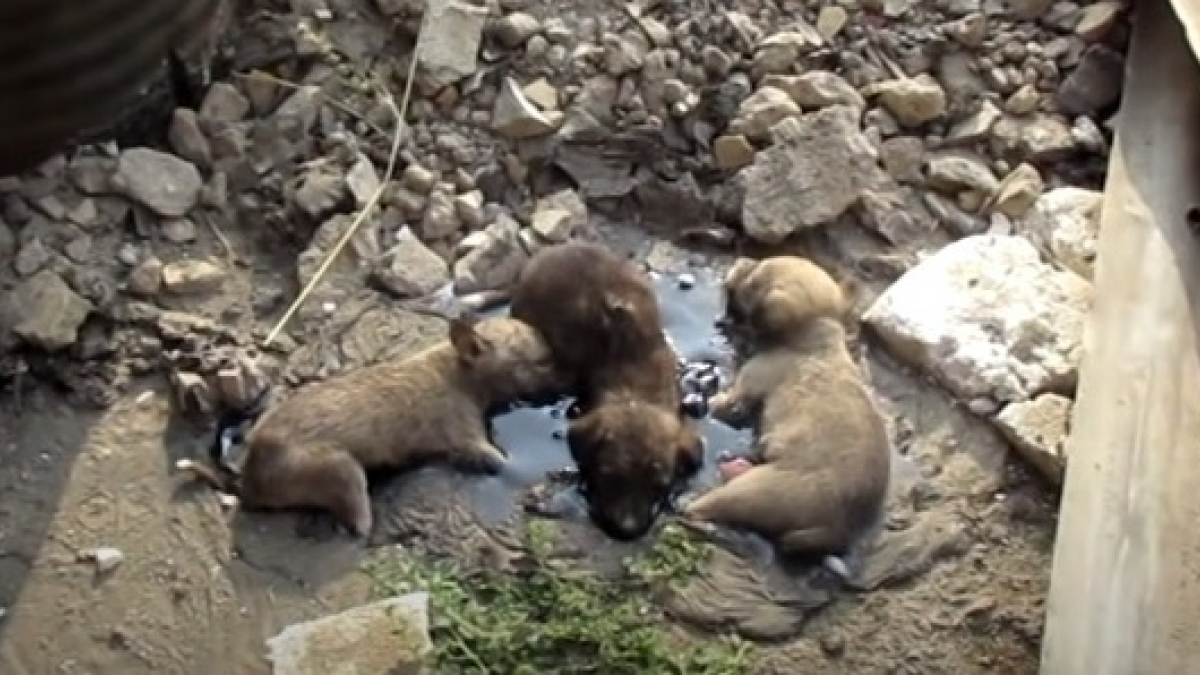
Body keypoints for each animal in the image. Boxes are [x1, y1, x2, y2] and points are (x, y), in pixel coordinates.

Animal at [177, 314, 566, 535]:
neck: (459, 371)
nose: (567, 382)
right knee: (359, 524)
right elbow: (509, 466)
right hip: (343, 471)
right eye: (541, 362)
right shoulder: (472, 442)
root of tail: (249, 481)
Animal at [686, 254, 892, 559]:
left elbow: (726, 403)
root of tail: (835, 526)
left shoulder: (751, 380)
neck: (816, 334)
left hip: (759, 491)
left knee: (707, 507)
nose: (742, 259)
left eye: (754, 280)